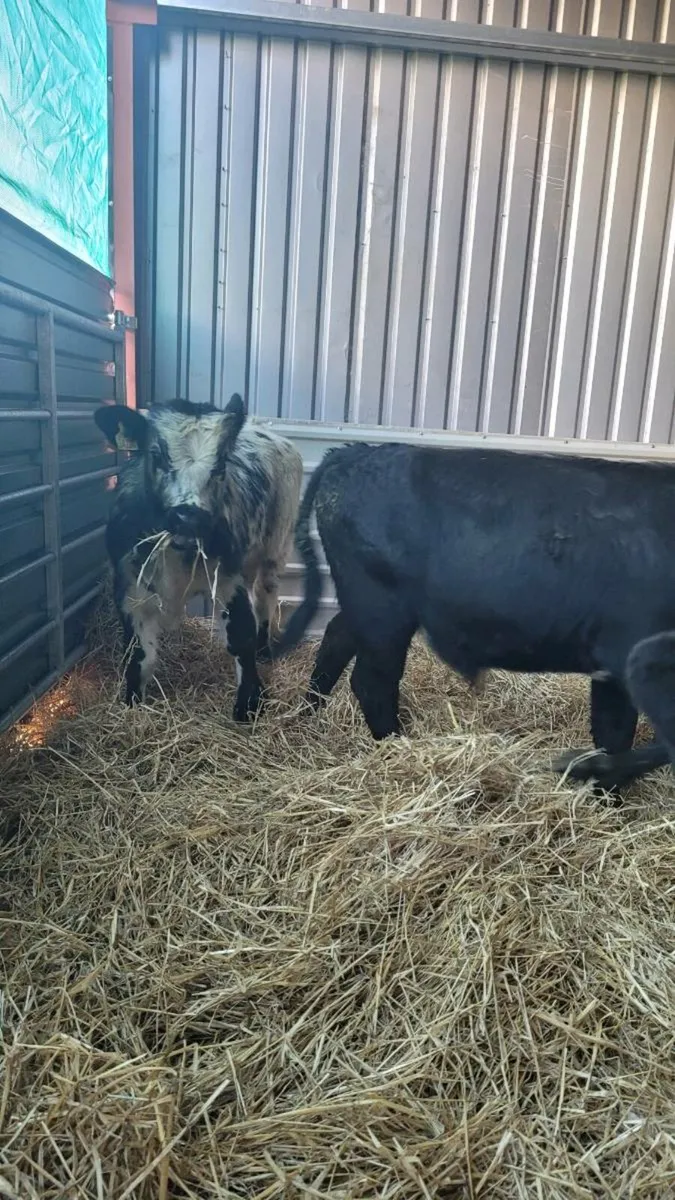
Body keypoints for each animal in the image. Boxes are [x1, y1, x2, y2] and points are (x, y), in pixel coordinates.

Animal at [95, 395, 303, 721]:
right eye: (156, 454)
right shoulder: (130, 588)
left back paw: (264, 649)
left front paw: (249, 702)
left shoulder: (229, 579)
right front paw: (132, 700)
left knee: (265, 597)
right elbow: (139, 651)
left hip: (276, 545)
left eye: (221, 464)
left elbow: (241, 636)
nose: (189, 517)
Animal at [272, 441, 675, 790]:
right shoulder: (628, 654)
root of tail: (354, 452)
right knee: (372, 681)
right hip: (381, 609)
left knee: (336, 638)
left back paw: (309, 714)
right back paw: (399, 747)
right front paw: (591, 773)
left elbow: (614, 731)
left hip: (368, 608)